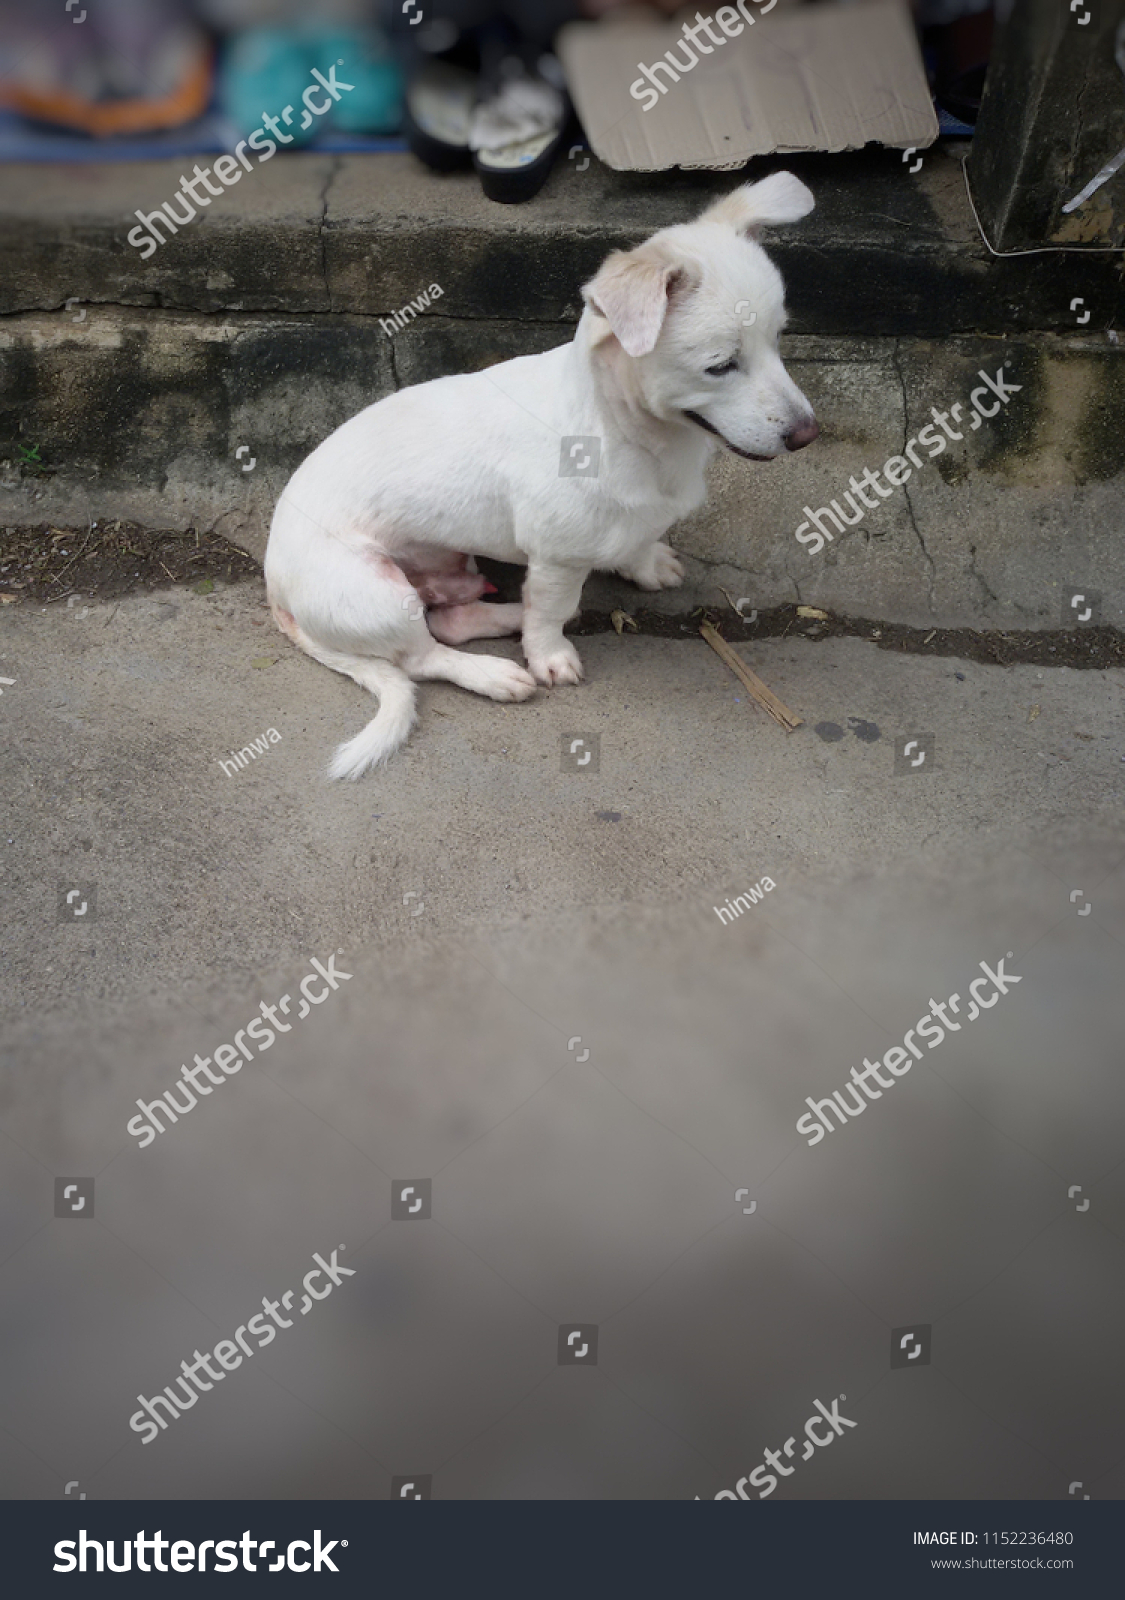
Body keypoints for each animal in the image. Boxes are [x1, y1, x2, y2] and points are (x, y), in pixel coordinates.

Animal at [268, 170, 825, 780]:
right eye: (720, 366)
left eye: (779, 340)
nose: (807, 434)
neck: (631, 433)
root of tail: (276, 593)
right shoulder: (558, 556)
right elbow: (552, 610)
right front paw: (549, 654)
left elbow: (634, 541)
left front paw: (644, 564)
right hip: (378, 594)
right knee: (422, 656)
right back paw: (492, 671)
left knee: (451, 620)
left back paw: (509, 611)